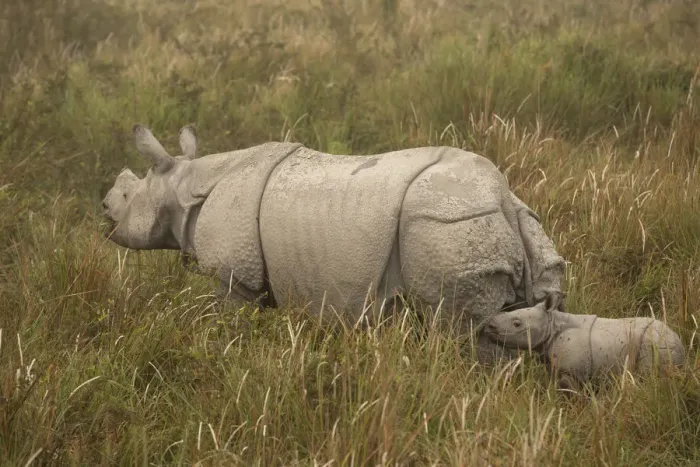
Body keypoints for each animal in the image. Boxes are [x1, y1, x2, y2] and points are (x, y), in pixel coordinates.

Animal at [101, 123, 566, 362]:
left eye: (126, 196)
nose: (102, 207)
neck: (185, 185)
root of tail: (499, 197)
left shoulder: (234, 276)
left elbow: (229, 322)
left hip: (445, 223)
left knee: (462, 330)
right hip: (508, 219)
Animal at [483, 293, 687, 390]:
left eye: (517, 323)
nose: (490, 325)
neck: (552, 324)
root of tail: (679, 340)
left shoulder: (572, 372)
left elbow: (568, 392)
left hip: (656, 343)